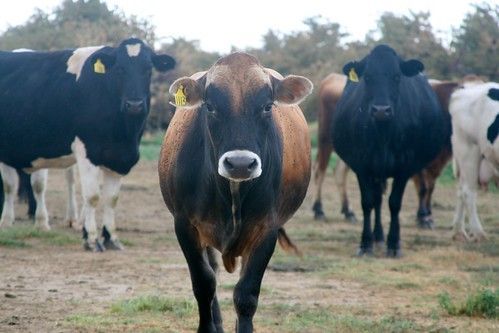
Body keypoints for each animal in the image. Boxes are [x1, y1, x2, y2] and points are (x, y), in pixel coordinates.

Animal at [0, 37, 176, 250]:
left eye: (148, 68)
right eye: (119, 69)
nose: (134, 105)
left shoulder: (119, 157)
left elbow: (111, 199)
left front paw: (111, 237)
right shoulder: (87, 153)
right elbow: (92, 196)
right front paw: (91, 238)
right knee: (10, 186)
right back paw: (7, 221)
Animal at [159, 52, 312, 332]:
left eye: (267, 106)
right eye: (209, 106)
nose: (240, 163)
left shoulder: (266, 229)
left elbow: (246, 294)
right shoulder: (185, 225)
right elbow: (204, 284)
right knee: (212, 273)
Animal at [314, 72, 458, 228]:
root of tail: (331, 78)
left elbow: (429, 187)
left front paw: (427, 215)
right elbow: (423, 187)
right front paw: (423, 217)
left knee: (339, 172)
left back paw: (348, 212)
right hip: (325, 139)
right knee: (319, 172)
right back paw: (319, 210)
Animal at [334, 44, 448, 256]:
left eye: (396, 77)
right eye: (368, 77)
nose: (381, 110)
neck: (383, 136)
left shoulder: (404, 167)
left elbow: (394, 203)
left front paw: (394, 244)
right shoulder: (362, 166)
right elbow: (367, 202)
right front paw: (365, 243)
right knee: (377, 200)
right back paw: (377, 237)